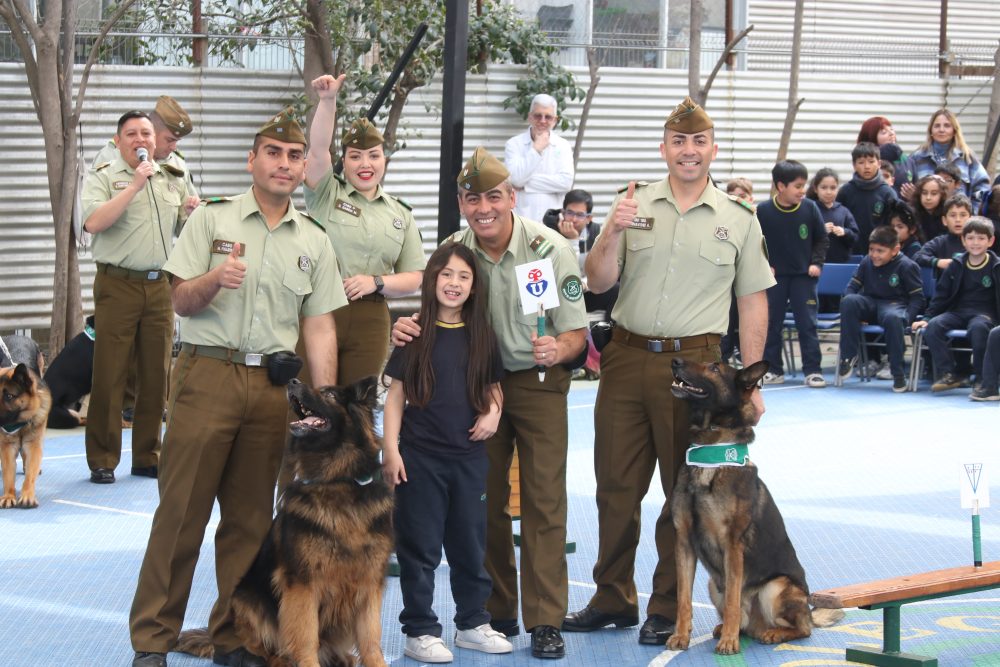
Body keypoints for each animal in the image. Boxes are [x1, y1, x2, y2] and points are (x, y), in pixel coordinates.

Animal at [664, 362, 844, 656]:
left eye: (714, 368)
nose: (675, 362)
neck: (710, 453)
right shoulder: (684, 543)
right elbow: (683, 599)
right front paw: (681, 635)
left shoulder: (732, 546)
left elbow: (733, 601)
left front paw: (729, 642)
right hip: (714, 584)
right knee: (744, 620)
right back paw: (730, 629)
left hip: (775, 587)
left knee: (802, 629)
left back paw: (769, 633)